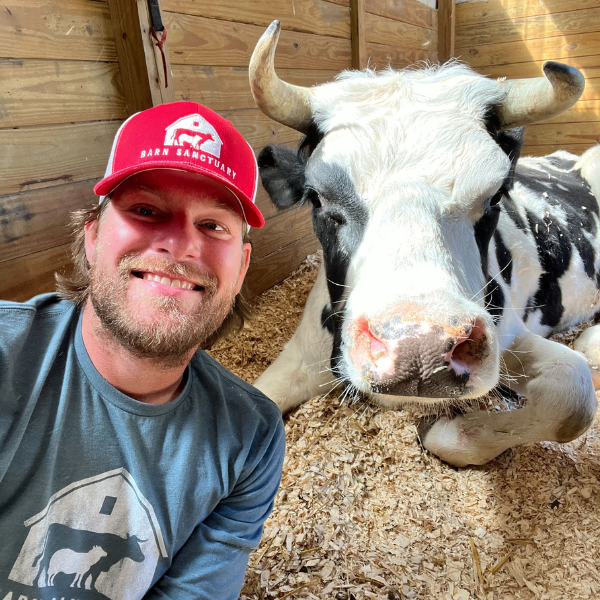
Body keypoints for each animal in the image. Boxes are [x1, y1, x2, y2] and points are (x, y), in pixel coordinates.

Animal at [248, 21, 600, 466]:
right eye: (318, 197)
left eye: (496, 194)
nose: (420, 347)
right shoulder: (302, 354)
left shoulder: (508, 334)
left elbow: (573, 395)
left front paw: (450, 431)